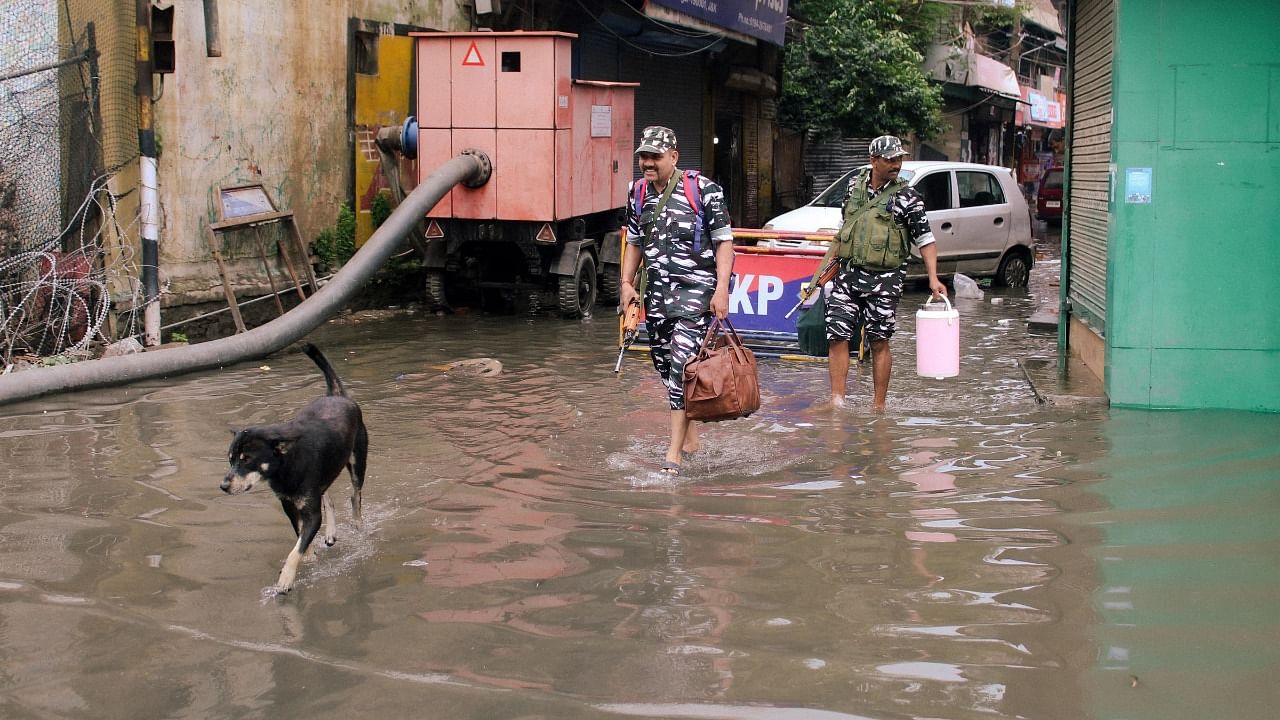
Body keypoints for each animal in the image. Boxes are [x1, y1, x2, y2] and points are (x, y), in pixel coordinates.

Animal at [220, 340, 368, 589]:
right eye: (231, 459)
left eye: (247, 459)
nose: (223, 486)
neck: (286, 466)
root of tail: (336, 395)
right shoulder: (288, 505)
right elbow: (299, 535)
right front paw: (309, 555)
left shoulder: (312, 513)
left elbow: (296, 548)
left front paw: (286, 580)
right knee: (328, 497)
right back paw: (331, 533)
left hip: (358, 462)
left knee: (355, 495)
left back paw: (357, 523)